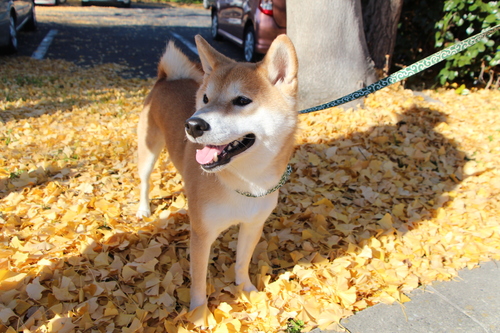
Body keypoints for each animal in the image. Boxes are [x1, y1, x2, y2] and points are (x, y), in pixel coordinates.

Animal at [136, 34, 296, 308]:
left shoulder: (253, 225)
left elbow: (242, 263)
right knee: (145, 181)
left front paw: (246, 290)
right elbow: (199, 282)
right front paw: (199, 313)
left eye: (242, 101)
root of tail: (167, 79)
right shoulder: (202, 234)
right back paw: (143, 209)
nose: (192, 125)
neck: (246, 182)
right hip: (148, 150)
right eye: (206, 99)